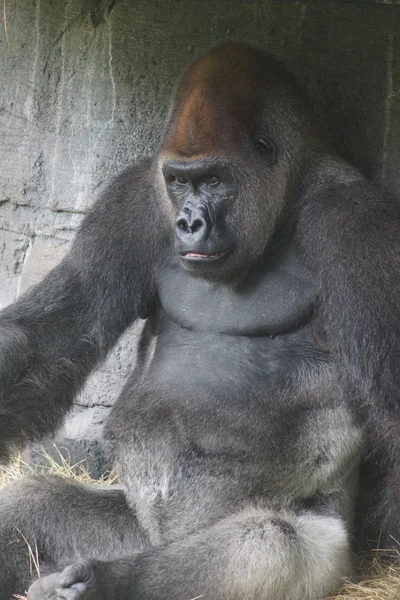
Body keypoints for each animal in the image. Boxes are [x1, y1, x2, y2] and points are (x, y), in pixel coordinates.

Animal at [0, 43, 400, 600]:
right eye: (178, 181)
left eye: (213, 180)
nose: (189, 221)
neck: (286, 197)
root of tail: (156, 540)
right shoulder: (135, 198)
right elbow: (60, 329)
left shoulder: (356, 225)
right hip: (133, 525)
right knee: (35, 506)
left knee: (268, 543)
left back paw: (103, 582)